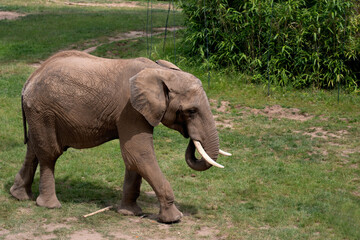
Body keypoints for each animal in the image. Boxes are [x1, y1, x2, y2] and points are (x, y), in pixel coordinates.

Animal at [11, 50, 232, 223]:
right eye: (191, 111)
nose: (191, 137)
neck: (159, 71)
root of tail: (29, 79)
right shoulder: (131, 110)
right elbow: (138, 153)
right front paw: (174, 218)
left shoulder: (135, 111)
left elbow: (133, 159)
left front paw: (129, 213)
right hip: (43, 111)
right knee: (49, 154)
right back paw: (50, 206)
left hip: (38, 113)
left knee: (33, 148)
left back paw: (20, 196)